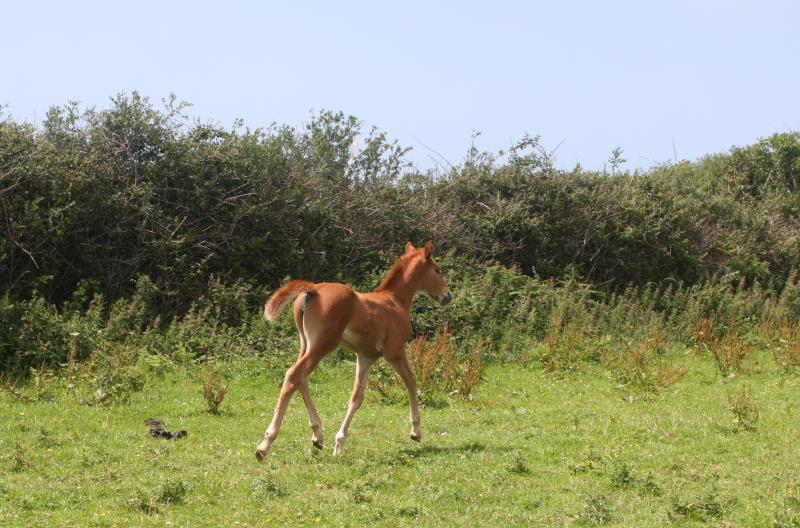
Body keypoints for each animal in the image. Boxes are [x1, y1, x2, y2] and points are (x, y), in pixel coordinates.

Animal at [255, 241, 450, 460]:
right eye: (437, 270)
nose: (447, 296)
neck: (395, 301)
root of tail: (313, 290)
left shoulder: (366, 356)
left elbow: (356, 397)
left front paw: (339, 443)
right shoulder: (395, 351)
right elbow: (411, 380)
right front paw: (416, 432)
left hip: (305, 343)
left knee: (302, 380)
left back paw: (318, 436)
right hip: (322, 345)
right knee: (294, 375)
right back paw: (265, 445)